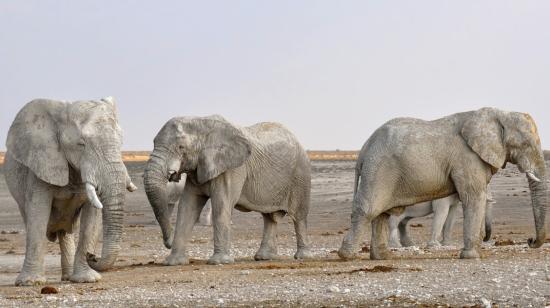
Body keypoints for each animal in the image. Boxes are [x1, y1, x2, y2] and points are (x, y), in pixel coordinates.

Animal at [2, 97, 136, 286]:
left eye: (121, 143)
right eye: (81, 144)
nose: (93, 256)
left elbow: (91, 218)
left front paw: (87, 279)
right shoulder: (41, 164)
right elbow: (38, 213)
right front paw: (30, 282)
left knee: (64, 232)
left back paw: (68, 277)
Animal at [144, 115, 312, 264]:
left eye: (181, 147)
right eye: (153, 142)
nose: (168, 242)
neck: (201, 121)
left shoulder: (232, 168)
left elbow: (221, 205)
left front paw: (219, 262)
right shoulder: (198, 168)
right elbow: (187, 207)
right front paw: (173, 262)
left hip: (301, 174)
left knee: (299, 216)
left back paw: (302, 257)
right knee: (269, 218)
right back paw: (264, 258)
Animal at [338, 108, 548, 260]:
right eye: (526, 144)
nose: (530, 240)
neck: (500, 113)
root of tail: (364, 148)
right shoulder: (467, 158)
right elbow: (473, 197)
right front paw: (471, 256)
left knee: (382, 214)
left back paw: (383, 258)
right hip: (379, 170)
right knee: (369, 210)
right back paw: (347, 256)